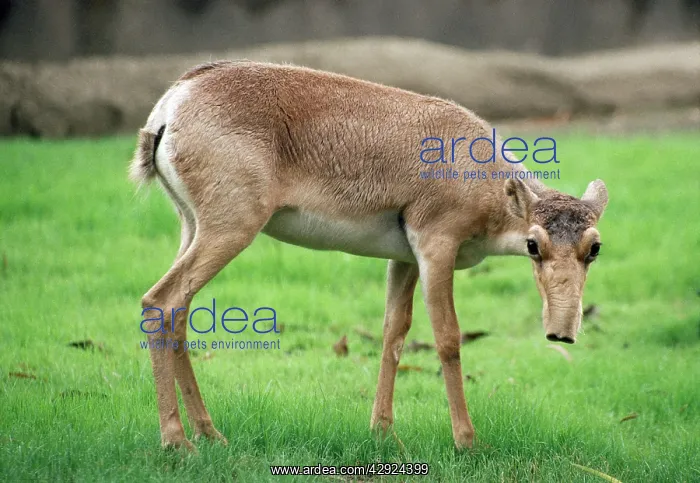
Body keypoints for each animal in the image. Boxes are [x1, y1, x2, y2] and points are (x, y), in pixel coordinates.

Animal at [130, 60, 608, 451]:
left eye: (594, 248)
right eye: (534, 244)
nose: (561, 333)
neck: (483, 179)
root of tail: (171, 105)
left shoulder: (405, 260)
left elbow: (393, 334)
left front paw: (383, 433)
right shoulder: (436, 248)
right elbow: (447, 337)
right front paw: (467, 441)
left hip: (193, 227)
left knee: (179, 311)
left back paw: (210, 434)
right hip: (230, 230)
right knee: (160, 302)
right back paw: (177, 442)